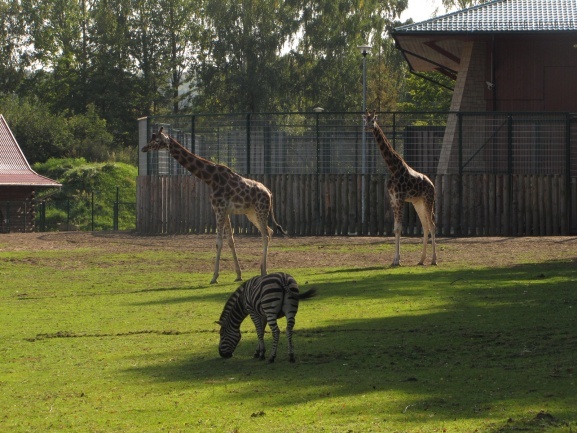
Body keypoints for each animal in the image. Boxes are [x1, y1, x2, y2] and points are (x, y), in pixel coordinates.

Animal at [142, 125, 286, 284]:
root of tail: (269, 193)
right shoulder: (225, 210)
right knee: (269, 232)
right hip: (252, 213)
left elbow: (219, 242)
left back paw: (264, 271)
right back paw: (263, 269)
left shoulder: (219, 208)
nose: (144, 148)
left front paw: (214, 277)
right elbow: (230, 240)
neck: (210, 179)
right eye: (151, 138)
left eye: (156, 140)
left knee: (265, 234)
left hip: (261, 210)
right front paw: (238, 274)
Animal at [362, 110, 438, 266]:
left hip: (429, 200)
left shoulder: (400, 198)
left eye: (373, 120)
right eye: (364, 120)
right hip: (418, 202)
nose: (366, 127)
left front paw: (398, 260)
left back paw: (434, 260)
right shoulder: (392, 199)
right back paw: (421, 260)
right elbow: (395, 228)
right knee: (425, 225)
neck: (393, 168)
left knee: (432, 224)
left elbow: (399, 227)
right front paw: (394, 260)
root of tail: (432, 184)